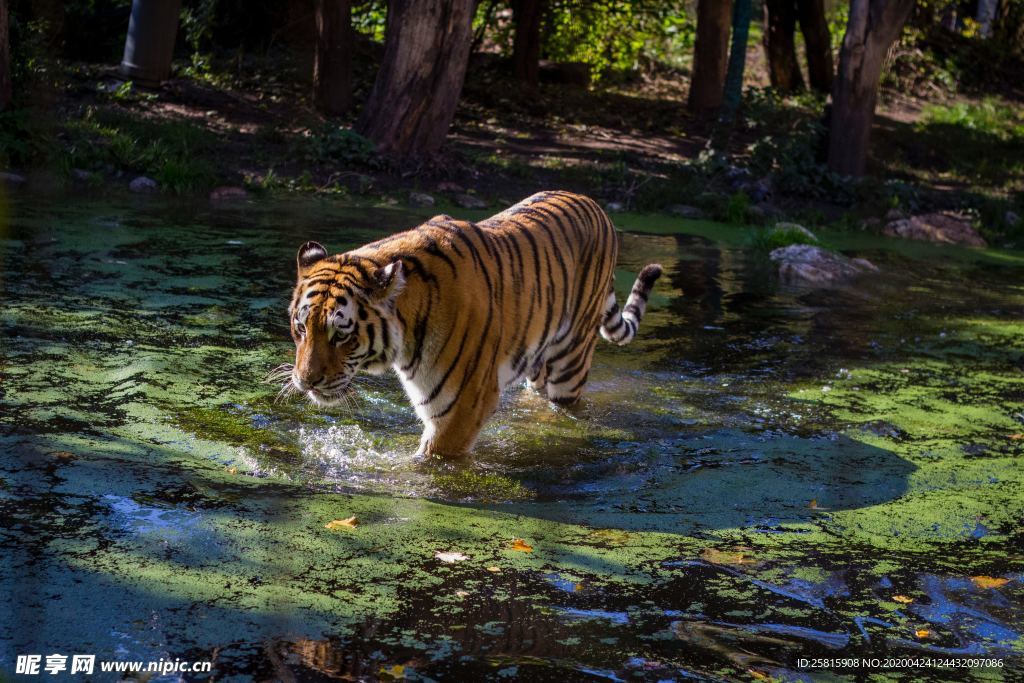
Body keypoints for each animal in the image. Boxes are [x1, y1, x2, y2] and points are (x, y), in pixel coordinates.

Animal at [286, 189, 663, 456]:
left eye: (341, 335)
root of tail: (596, 206)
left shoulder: (463, 406)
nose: (305, 381)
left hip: (570, 362)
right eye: (302, 328)